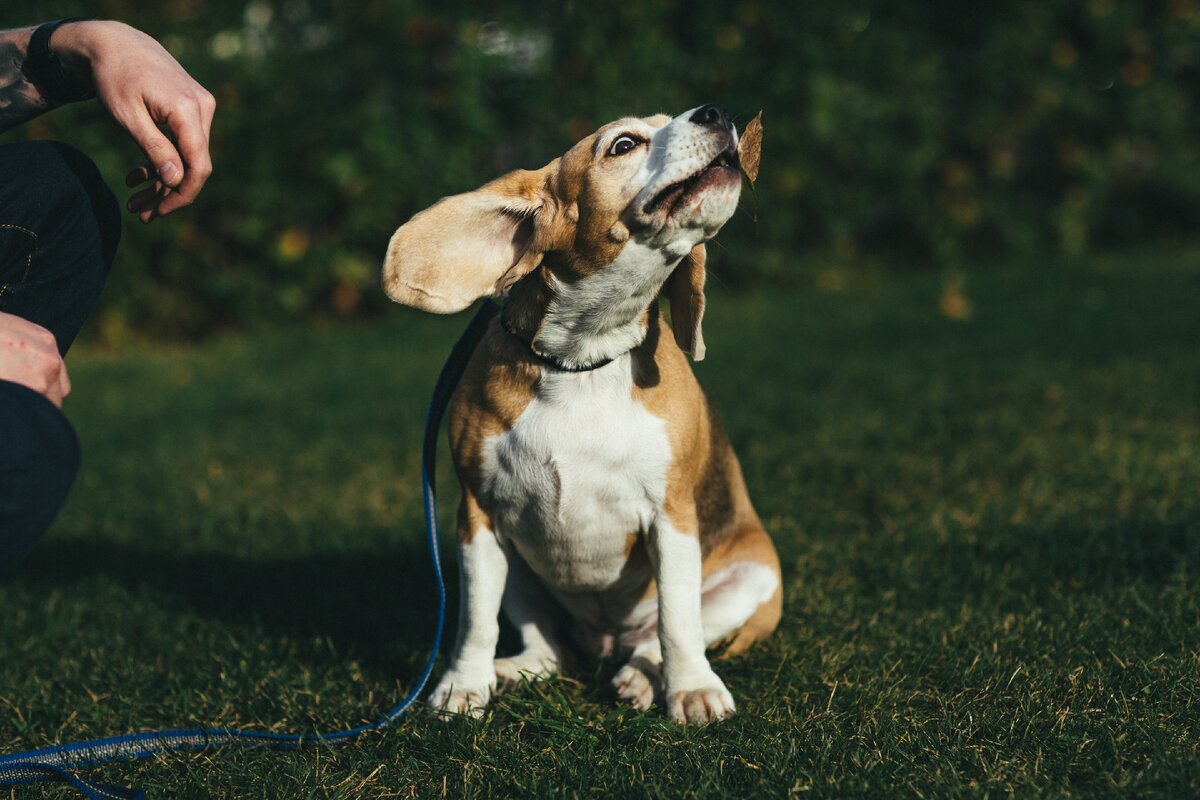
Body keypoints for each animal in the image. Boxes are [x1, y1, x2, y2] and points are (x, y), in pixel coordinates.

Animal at [379, 103, 782, 724]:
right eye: (623, 144)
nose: (715, 112)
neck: (583, 358)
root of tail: (604, 641)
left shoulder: (672, 518)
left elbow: (677, 621)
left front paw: (691, 689)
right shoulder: (476, 518)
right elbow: (473, 620)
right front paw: (462, 685)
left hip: (752, 579)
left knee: (656, 637)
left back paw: (643, 677)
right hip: (519, 568)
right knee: (551, 649)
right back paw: (514, 670)